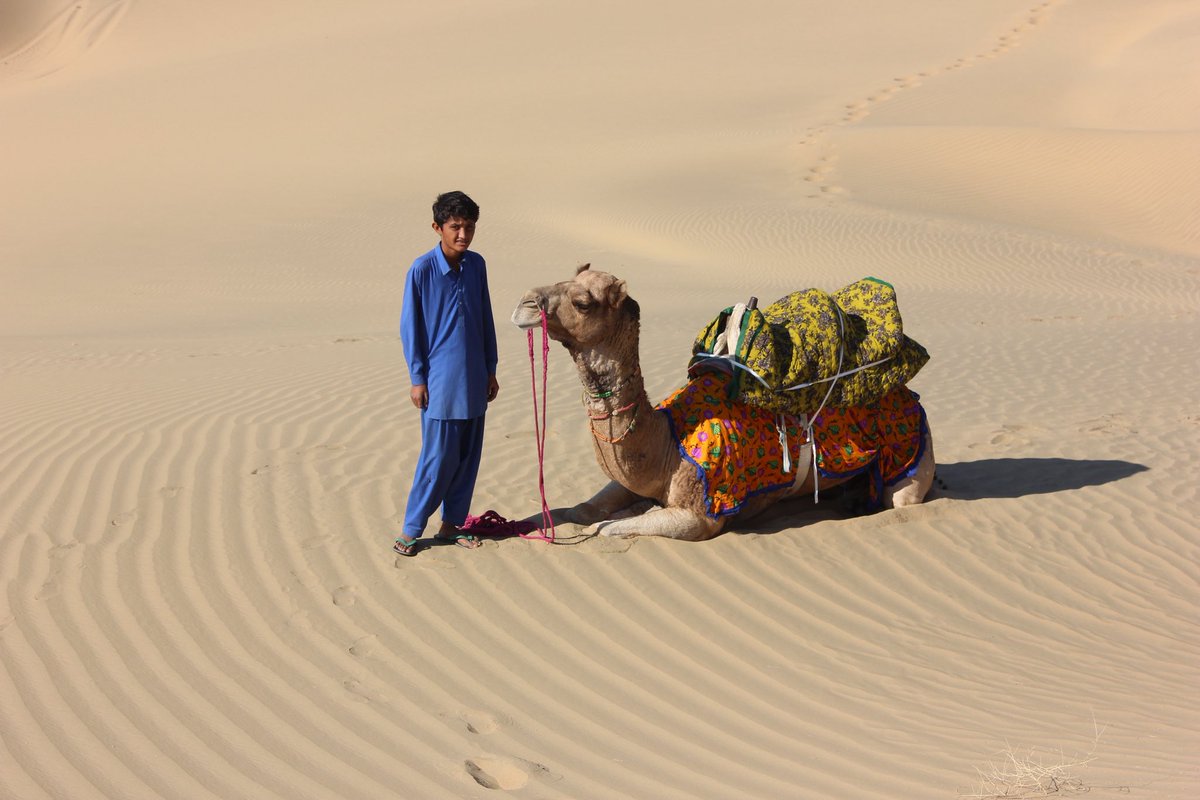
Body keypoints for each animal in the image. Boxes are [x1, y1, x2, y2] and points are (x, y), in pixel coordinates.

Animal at [511, 265, 935, 540]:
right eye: (565, 278)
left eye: (583, 302)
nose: (525, 303)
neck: (667, 443)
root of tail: (911, 396)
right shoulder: (632, 482)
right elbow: (584, 512)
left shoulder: (701, 516)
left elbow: (606, 529)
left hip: (910, 453)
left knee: (901, 499)